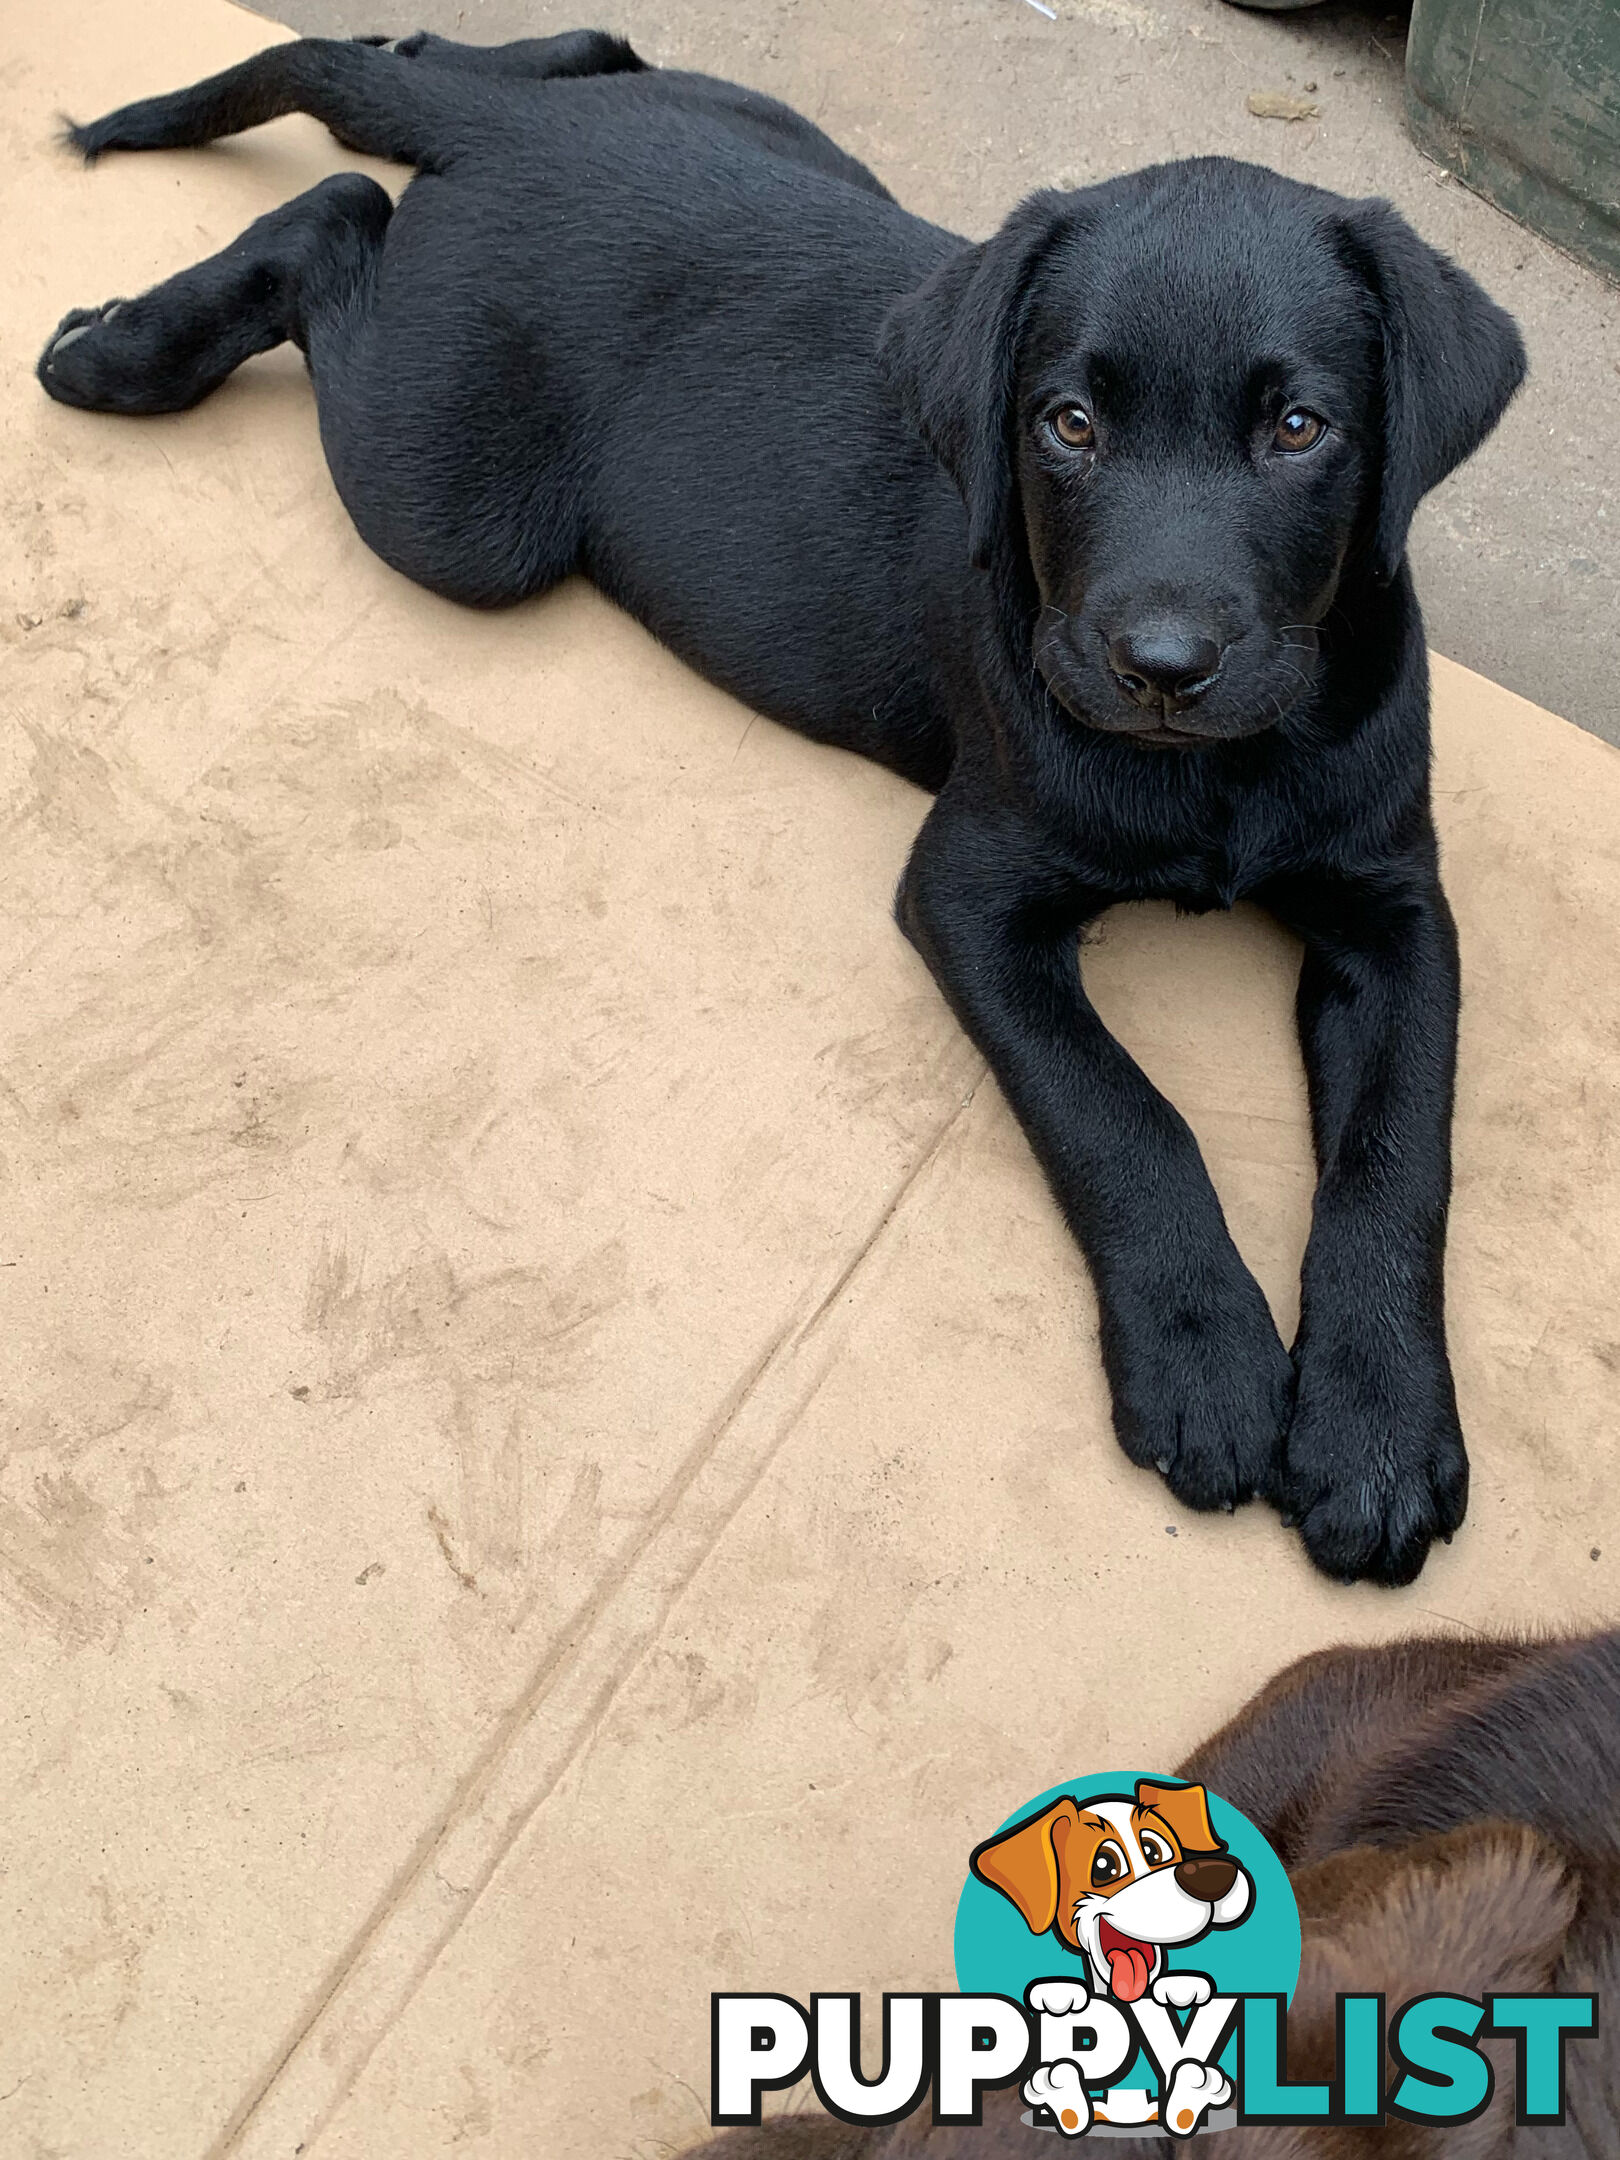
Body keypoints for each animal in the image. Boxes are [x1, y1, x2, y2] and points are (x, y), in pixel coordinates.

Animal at [41, 29, 1537, 1589]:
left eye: (1301, 428)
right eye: (1066, 423)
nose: (1161, 664)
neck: (1222, 770)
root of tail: (513, 139)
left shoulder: (1395, 908)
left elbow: (1396, 1151)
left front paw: (1372, 1430)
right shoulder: (973, 890)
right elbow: (1121, 1109)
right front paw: (1208, 1360)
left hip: (765, 153)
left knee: (537, 61)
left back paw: (442, 67)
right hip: (453, 498)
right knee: (333, 213)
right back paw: (125, 347)